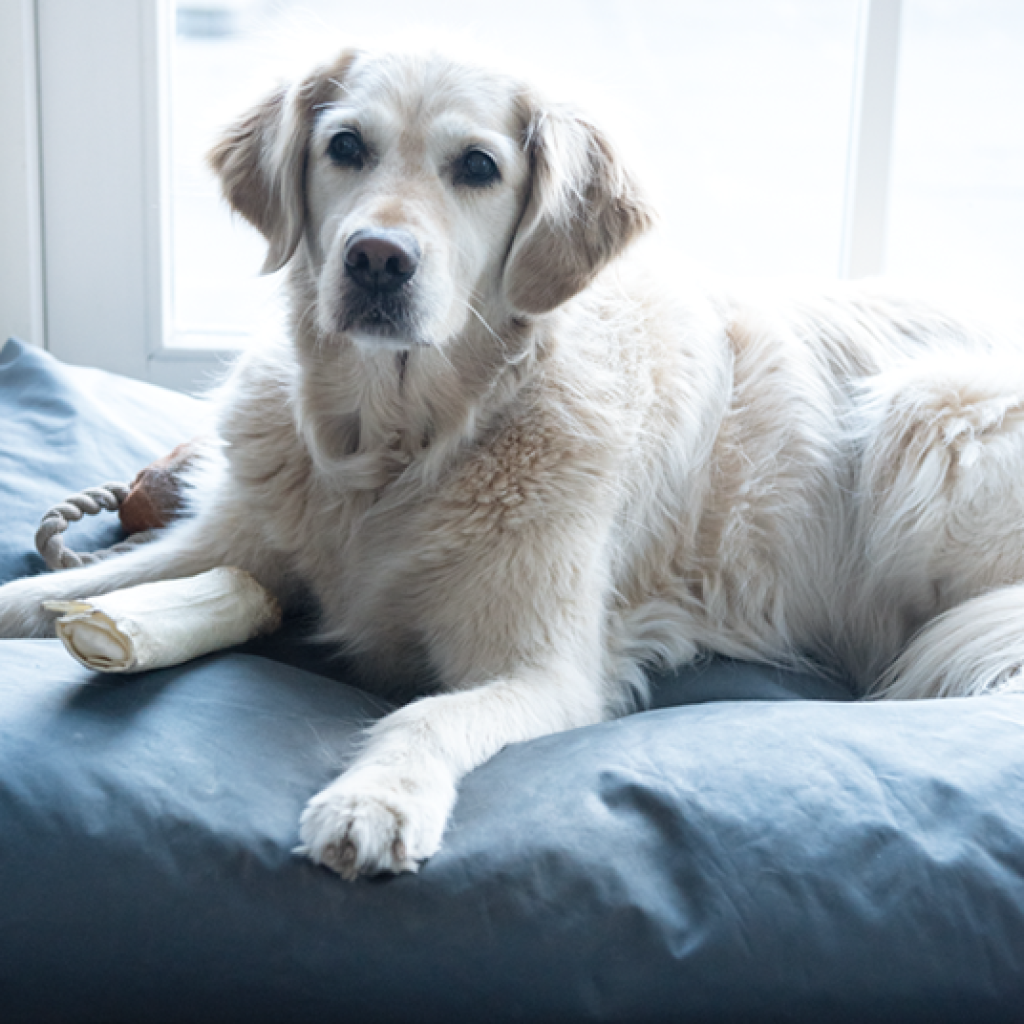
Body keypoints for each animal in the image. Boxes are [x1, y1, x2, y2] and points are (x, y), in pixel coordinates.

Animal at [2, 46, 1024, 880]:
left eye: (478, 167)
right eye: (345, 146)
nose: (377, 260)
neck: (396, 448)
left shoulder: (545, 669)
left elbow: (423, 715)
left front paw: (375, 799)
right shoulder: (231, 539)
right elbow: (58, 593)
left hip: (932, 411)